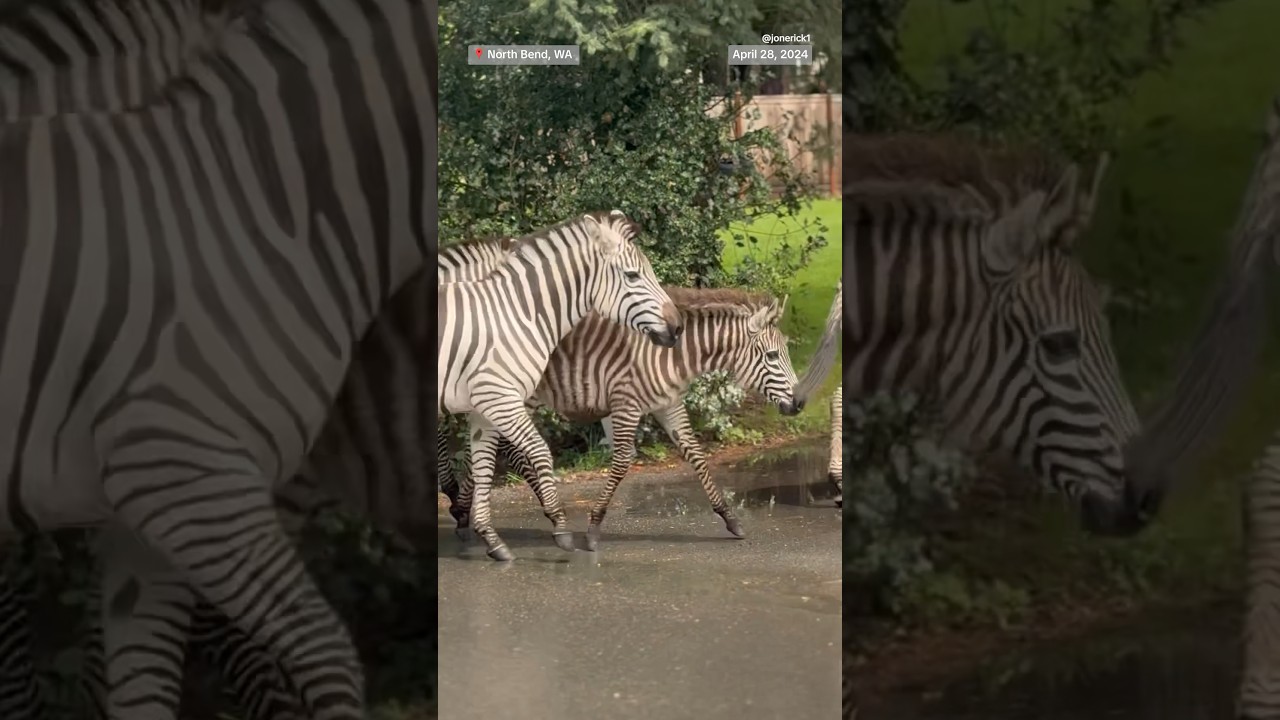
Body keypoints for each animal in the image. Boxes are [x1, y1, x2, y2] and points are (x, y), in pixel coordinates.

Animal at [438, 286, 803, 550]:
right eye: (773, 356)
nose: (800, 403)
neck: (671, 356)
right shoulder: (625, 404)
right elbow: (623, 461)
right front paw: (594, 526)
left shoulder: (668, 405)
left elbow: (696, 454)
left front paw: (730, 518)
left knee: (487, 449)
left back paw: (465, 510)